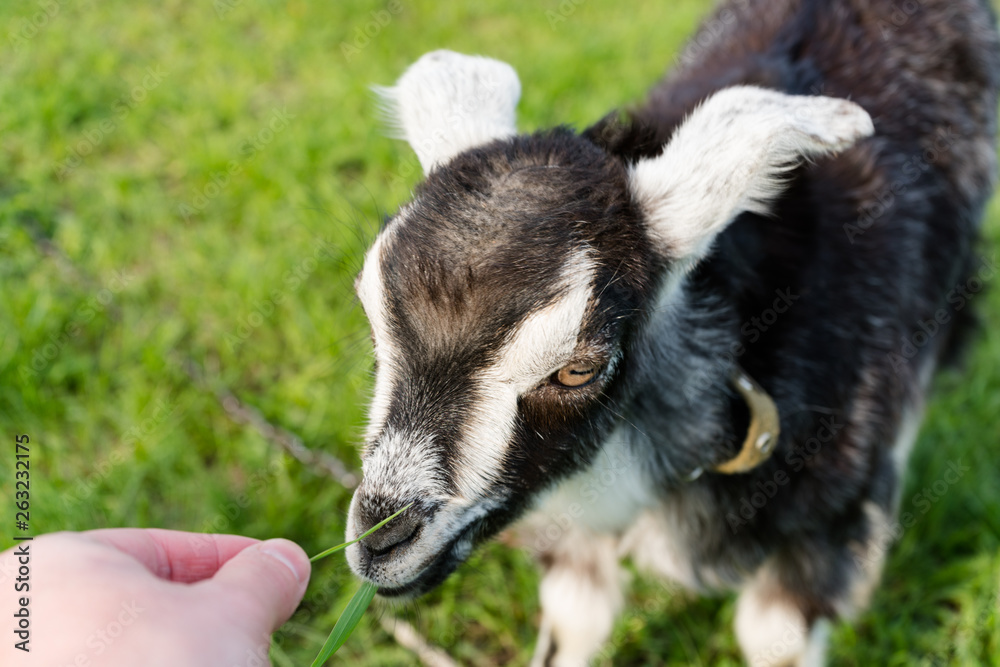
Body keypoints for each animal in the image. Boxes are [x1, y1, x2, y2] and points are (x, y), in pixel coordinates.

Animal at [346, 2, 1000, 664]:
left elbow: (775, 635)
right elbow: (576, 617)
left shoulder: (826, 520)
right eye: (374, 326)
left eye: (578, 369)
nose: (381, 542)